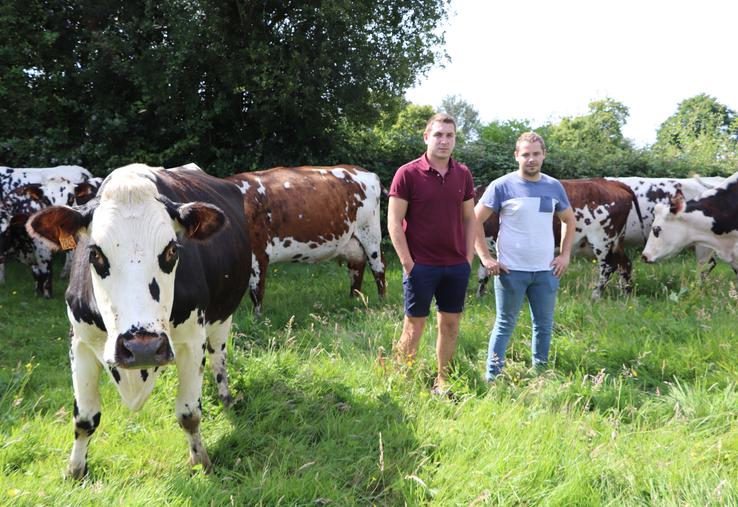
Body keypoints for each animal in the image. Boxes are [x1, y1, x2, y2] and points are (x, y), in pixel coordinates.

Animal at [25, 164, 252, 480]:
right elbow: (84, 418)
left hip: (222, 317)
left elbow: (189, 413)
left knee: (218, 356)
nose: (142, 348)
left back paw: (225, 396)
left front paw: (200, 462)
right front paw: (75, 470)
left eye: (172, 250)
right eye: (94, 253)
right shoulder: (79, 341)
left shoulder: (192, 340)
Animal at [226, 165, 386, 314]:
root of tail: (364, 171)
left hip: (370, 234)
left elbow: (256, 292)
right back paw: (354, 301)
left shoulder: (258, 254)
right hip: (353, 242)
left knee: (379, 266)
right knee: (356, 268)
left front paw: (258, 319)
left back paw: (381, 302)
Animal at [478, 178, 640, 300]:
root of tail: (613, 183)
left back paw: (596, 295)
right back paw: (626, 292)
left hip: (602, 240)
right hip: (616, 241)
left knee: (608, 267)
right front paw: (480, 296)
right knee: (625, 264)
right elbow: (483, 273)